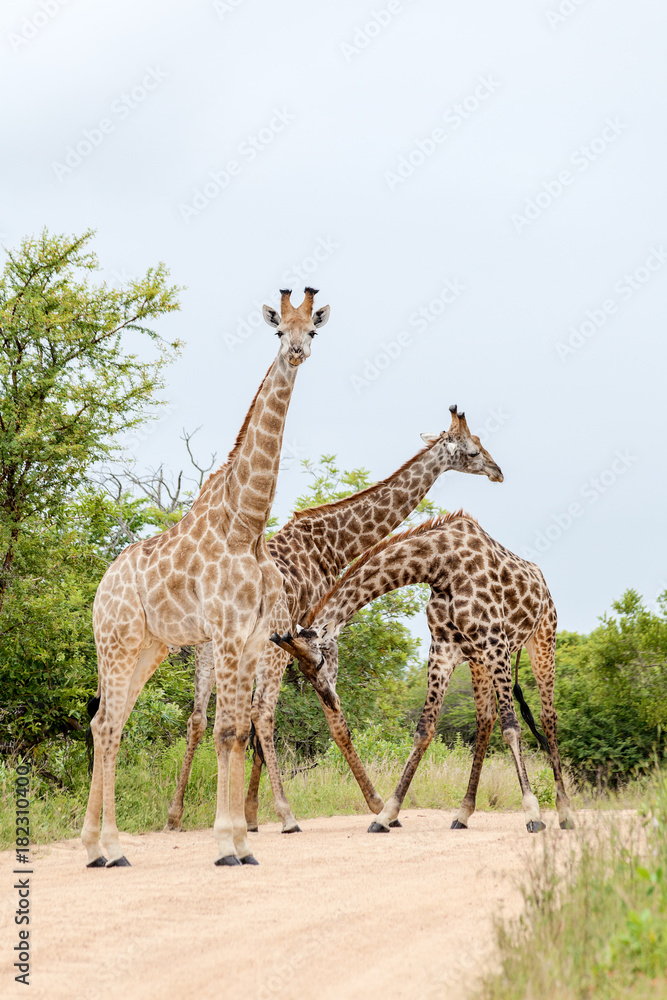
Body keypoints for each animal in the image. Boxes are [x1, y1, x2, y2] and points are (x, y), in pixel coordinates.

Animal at [82, 287, 329, 868]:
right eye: (279, 330)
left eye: (313, 330)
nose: (297, 353)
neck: (248, 524)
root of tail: (102, 587)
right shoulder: (227, 632)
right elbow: (224, 731)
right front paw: (224, 843)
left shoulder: (254, 635)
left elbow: (237, 731)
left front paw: (243, 842)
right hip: (116, 641)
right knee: (107, 724)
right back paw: (110, 846)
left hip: (148, 647)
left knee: (109, 723)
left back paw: (96, 847)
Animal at [165, 404, 504, 833]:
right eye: (473, 451)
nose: (497, 471)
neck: (332, 544)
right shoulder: (317, 637)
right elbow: (332, 718)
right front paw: (378, 806)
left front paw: (251, 814)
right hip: (258, 648)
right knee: (261, 714)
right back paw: (288, 816)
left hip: (207, 649)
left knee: (198, 718)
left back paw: (176, 815)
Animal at [271, 505, 575, 835]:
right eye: (301, 670)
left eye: (319, 662)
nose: (329, 699)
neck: (440, 565)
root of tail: (544, 585)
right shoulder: (443, 651)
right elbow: (424, 730)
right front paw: (386, 815)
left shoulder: (496, 645)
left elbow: (511, 726)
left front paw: (532, 813)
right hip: (478, 661)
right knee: (485, 720)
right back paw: (463, 813)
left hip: (542, 639)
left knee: (547, 717)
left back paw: (564, 813)